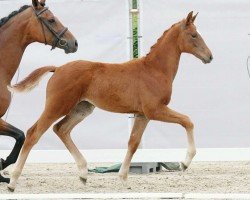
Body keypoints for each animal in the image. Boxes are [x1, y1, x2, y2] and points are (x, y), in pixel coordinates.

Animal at [6, 11, 212, 191]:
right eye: (194, 35)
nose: (209, 56)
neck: (154, 70)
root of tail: (57, 68)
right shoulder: (154, 110)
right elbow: (187, 121)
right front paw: (185, 163)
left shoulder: (142, 115)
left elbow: (133, 143)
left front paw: (122, 178)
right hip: (57, 106)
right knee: (34, 133)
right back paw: (12, 182)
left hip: (82, 108)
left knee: (61, 129)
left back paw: (83, 173)